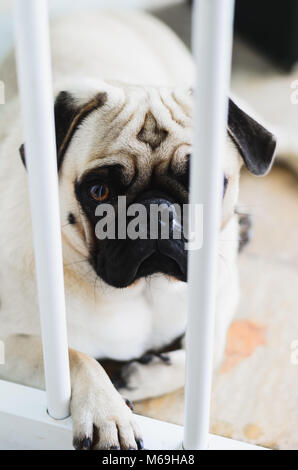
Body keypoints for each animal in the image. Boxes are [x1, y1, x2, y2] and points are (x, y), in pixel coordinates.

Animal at [0, 8, 276, 448]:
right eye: (99, 191)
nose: (155, 211)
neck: (144, 290)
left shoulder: (222, 289)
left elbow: (210, 349)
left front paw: (142, 374)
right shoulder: (10, 344)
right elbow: (75, 356)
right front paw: (108, 411)